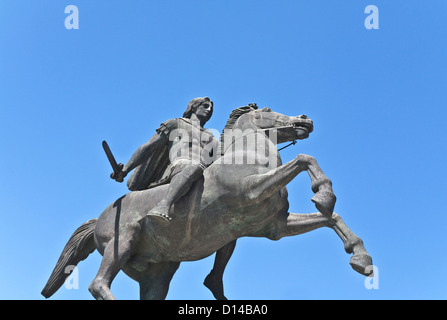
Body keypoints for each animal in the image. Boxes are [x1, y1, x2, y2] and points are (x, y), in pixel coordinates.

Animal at [42, 106, 372, 298]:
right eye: (268, 109)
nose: (305, 120)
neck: (247, 156)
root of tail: (99, 218)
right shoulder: (251, 190)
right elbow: (304, 159)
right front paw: (323, 193)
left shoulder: (274, 227)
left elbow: (331, 218)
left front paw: (361, 258)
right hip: (121, 243)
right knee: (98, 284)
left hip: (157, 273)